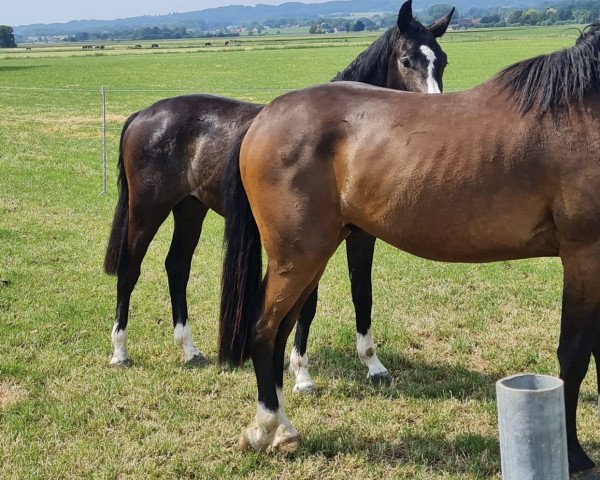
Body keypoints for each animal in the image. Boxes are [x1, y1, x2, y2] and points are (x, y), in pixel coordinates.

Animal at [104, 0, 454, 386]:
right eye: (407, 60)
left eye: (442, 59)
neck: (344, 138)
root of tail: (145, 114)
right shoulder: (310, 240)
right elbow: (308, 303)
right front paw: (301, 373)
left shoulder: (362, 236)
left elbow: (362, 293)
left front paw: (374, 366)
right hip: (147, 209)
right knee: (130, 269)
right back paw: (119, 352)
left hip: (190, 208)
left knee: (177, 266)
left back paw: (189, 350)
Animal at [219, 23, 600, 476]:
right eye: (407, 60)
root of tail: (265, 115)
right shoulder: (583, 255)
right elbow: (575, 354)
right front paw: (575, 455)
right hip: (297, 258)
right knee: (263, 328)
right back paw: (264, 429)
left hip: (311, 255)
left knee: (280, 330)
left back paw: (283, 429)